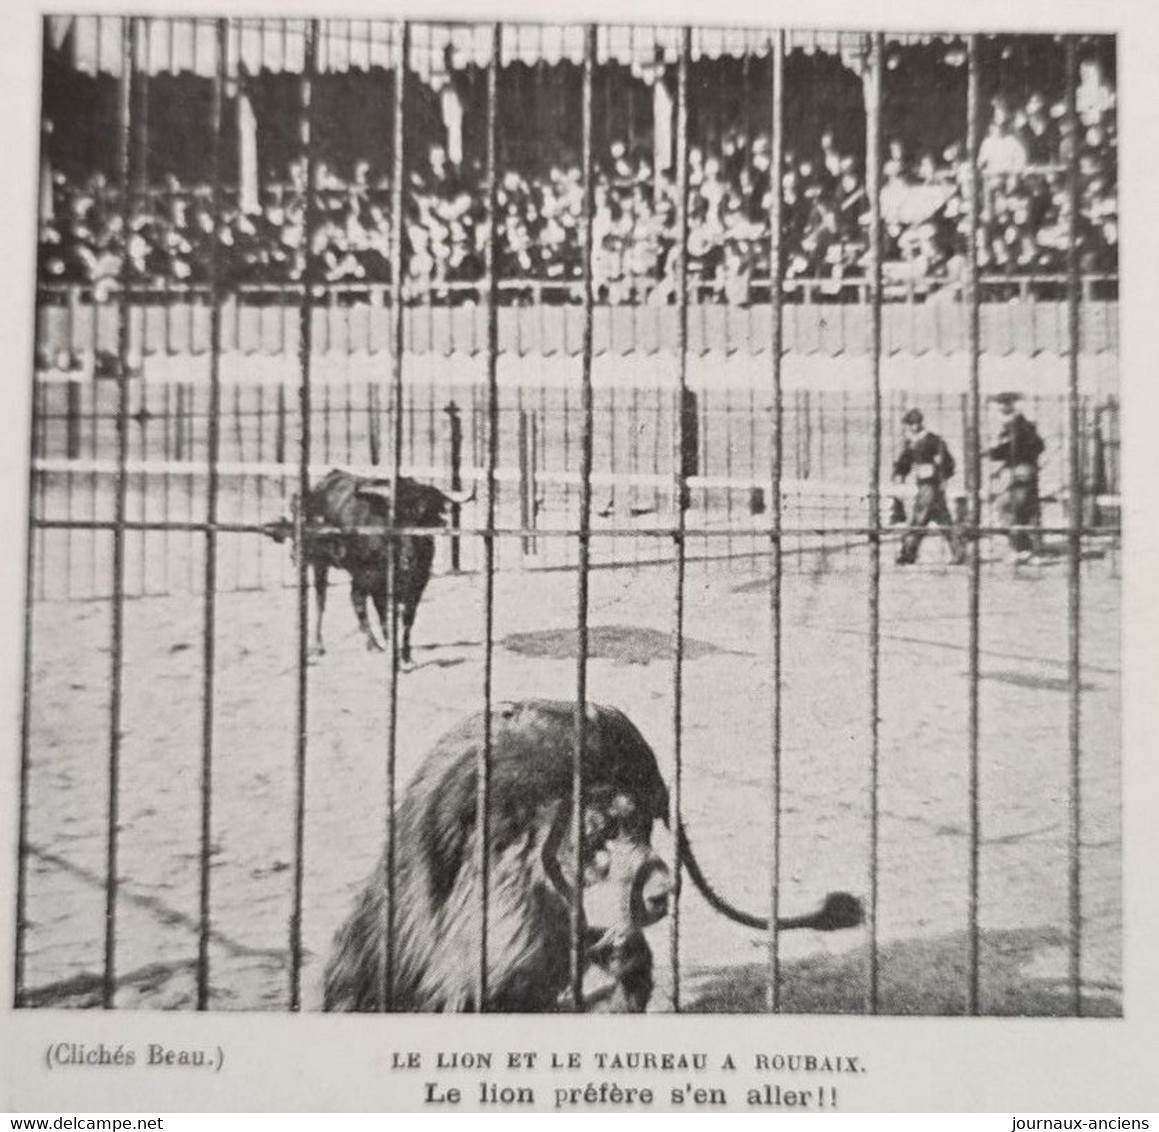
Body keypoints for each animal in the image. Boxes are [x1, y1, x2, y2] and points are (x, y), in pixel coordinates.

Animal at [265, 468, 472, 662]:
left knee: (356, 599)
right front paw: (392, 648)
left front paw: (406, 654)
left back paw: (371, 644)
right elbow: (385, 617)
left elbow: (407, 618)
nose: (410, 557)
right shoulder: (375, 582)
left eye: (425, 517)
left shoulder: (418, 583)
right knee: (322, 600)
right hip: (319, 563)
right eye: (397, 518)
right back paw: (320, 645)